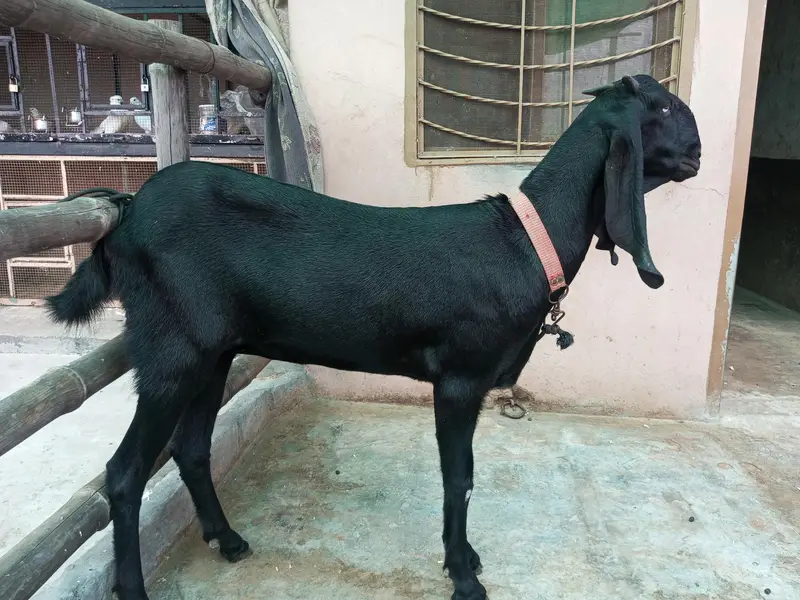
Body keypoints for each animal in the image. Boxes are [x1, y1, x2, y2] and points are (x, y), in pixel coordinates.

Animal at [46, 74, 701, 600]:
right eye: (663, 108)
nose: (697, 151)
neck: (521, 240)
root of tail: (127, 212)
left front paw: (466, 560)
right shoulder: (460, 377)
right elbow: (460, 477)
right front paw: (463, 574)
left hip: (212, 351)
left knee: (190, 447)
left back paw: (228, 539)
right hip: (172, 349)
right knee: (124, 473)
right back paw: (135, 586)